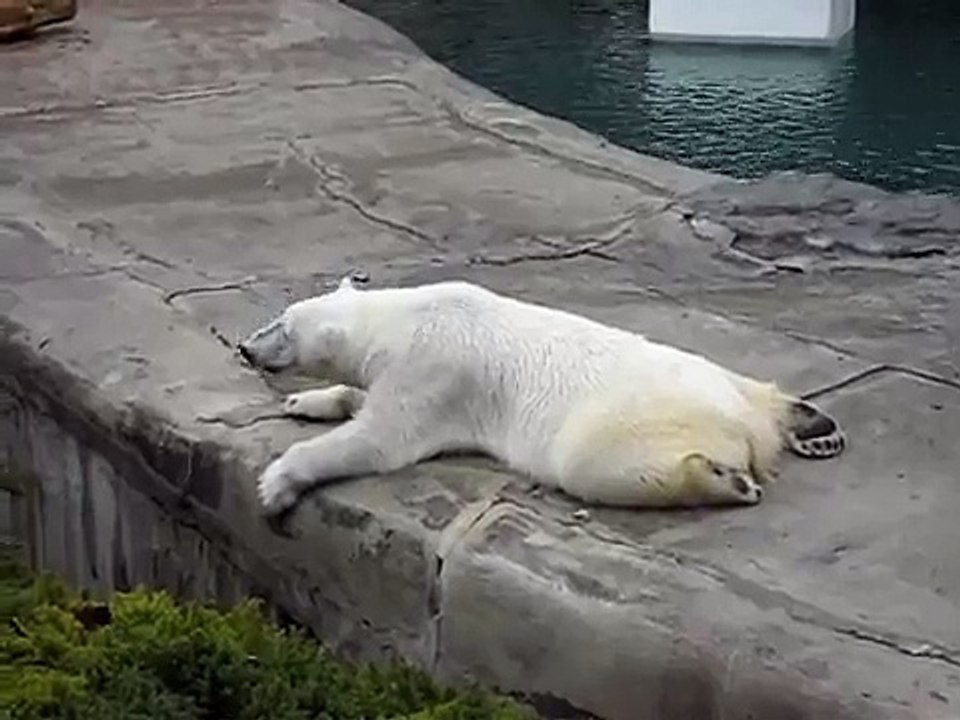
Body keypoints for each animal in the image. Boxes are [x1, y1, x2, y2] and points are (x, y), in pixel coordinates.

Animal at [237, 277, 845, 515]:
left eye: (280, 327)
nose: (244, 347)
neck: (403, 318)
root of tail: (746, 425)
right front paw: (306, 402)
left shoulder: (434, 369)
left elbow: (380, 439)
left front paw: (276, 484)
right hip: (722, 377)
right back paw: (812, 425)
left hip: (629, 420)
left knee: (591, 461)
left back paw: (726, 480)